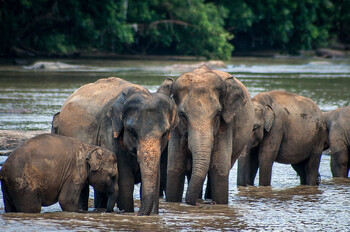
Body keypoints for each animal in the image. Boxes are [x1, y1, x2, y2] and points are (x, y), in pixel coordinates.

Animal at [52, 77, 178, 215]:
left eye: (165, 133)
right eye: (131, 131)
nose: (138, 213)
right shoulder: (110, 132)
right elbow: (125, 184)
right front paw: (127, 211)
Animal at [165, 65, 256, 205]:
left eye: (218, 114)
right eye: (182, 114)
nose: (195, 204)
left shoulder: (226, 124)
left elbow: (219, 169)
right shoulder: (177, 129)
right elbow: (175, 167)